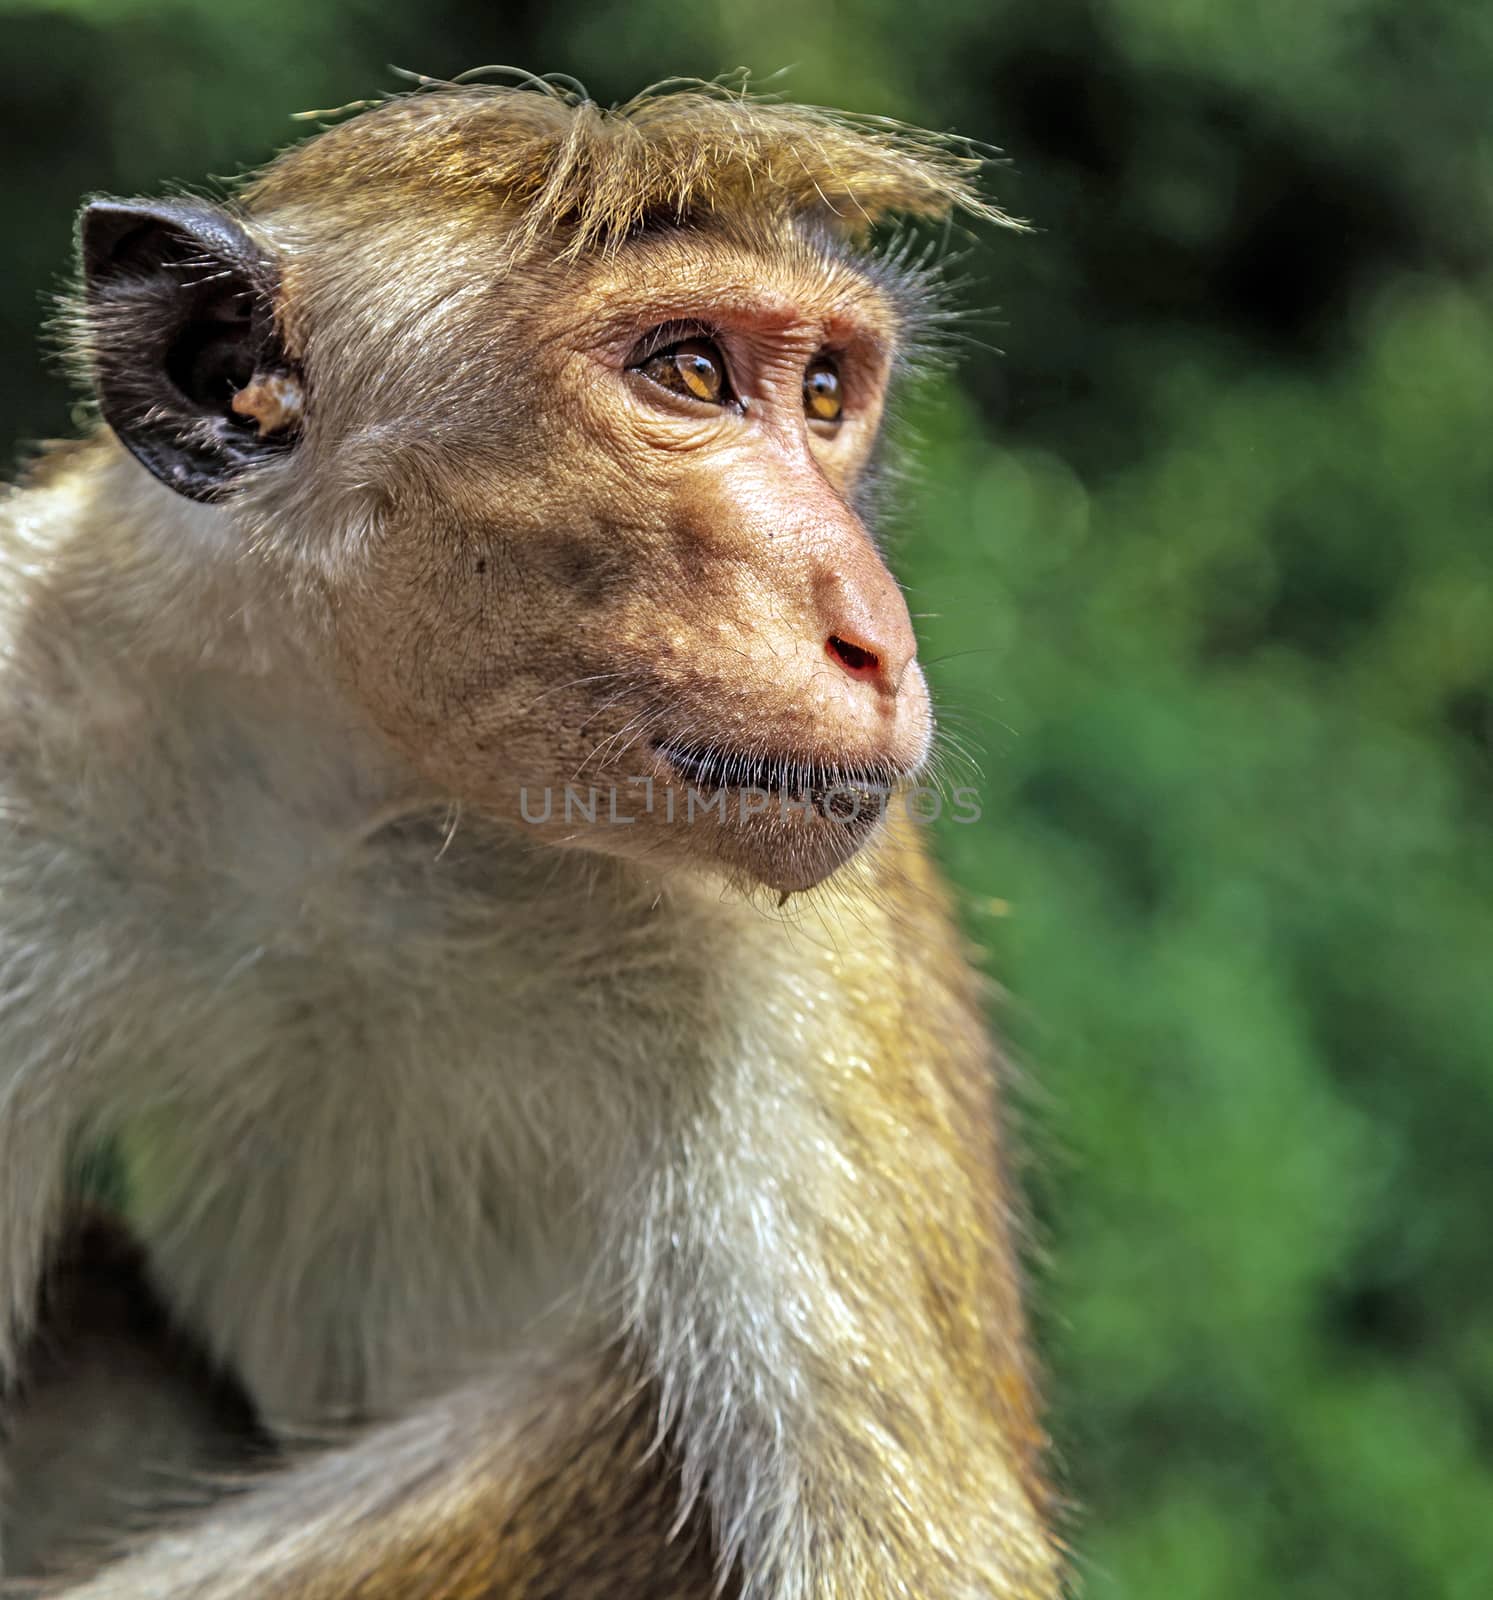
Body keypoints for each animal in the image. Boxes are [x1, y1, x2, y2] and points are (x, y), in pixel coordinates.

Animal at [0, 78, 1062, 1600]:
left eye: (822, 394)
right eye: (687, 374)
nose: (874, 633)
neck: (376, 810)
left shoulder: (810, 961)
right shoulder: (33, 721)